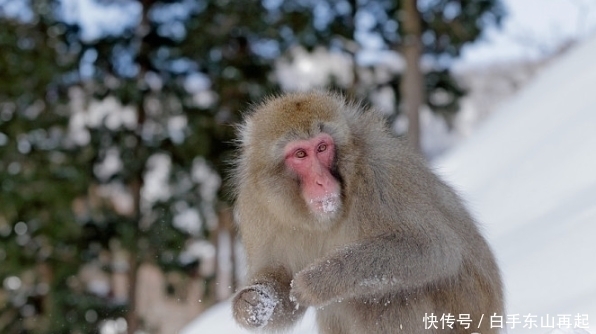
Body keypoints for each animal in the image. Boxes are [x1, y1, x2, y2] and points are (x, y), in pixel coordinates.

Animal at [230, 91, 500, 334]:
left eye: (322, 147)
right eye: (300, 154)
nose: (321, 181)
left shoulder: (379, 173)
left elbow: (433, 248)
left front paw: (318, 281)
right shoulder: (256, 205)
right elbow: (281, 281)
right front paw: (251, 303)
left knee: (386, 297)